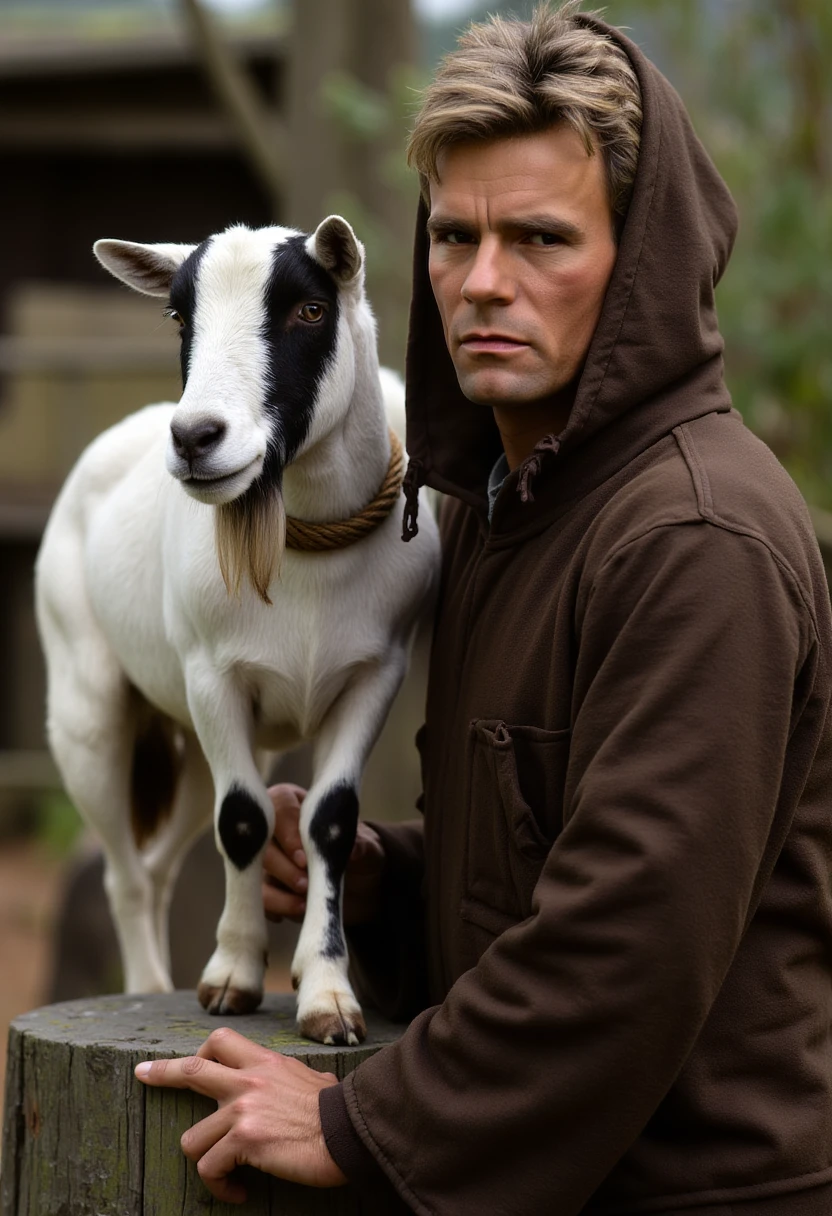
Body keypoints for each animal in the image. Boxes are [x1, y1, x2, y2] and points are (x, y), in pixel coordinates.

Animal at [35, 221, 437, 1045]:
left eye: (310, 310)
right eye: (178, 316)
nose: (195, 438)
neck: (299, 542)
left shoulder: (376, 672)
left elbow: (329, 822)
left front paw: (326, 995)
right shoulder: (209, 674)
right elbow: (247, 820)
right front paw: (232, 980)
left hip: (192, 746)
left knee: (160, 864)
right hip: (88, 708)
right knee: (125, 871)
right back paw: (145, 987)